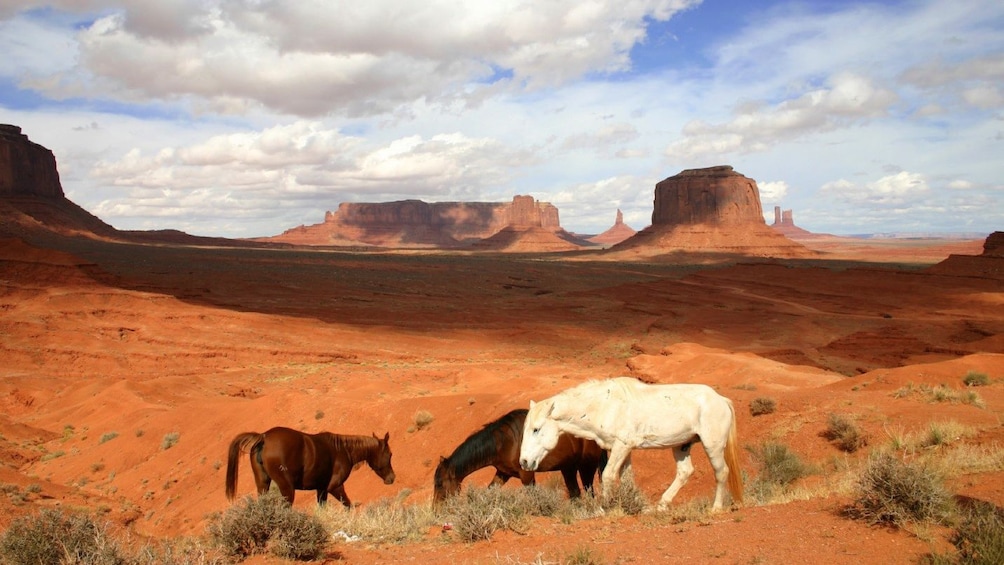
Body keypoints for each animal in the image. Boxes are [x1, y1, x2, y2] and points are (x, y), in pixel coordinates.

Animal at [227, 427, 395, 505]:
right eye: (390, 454)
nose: (391, 478)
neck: (343, 450)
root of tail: (264, 436)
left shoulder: (321, 489)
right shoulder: (335, 487)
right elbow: (348, 505)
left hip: (263, 483)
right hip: (287, 488)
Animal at [431, 409, 602, 505]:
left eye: (439, 484)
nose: (436, 511)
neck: (504, 441)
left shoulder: (526, 474)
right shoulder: (503, 473)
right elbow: (490, 491)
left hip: (586, 466)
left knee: (589, 490)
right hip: (568, 468)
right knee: (575, 492)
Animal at [522, 377, 742, 509]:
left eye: (536, 429)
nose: (523, 462)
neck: (604, 405)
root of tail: (721, 399)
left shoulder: (621, 446)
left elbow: (608, 476)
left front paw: (604, 508)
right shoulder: (624, 449)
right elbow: (627, 478)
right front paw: (638, 505)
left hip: (712, 446)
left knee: (721, 472)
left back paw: (716, 508)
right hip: (681, 446)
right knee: (685, 472)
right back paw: (661, 505)